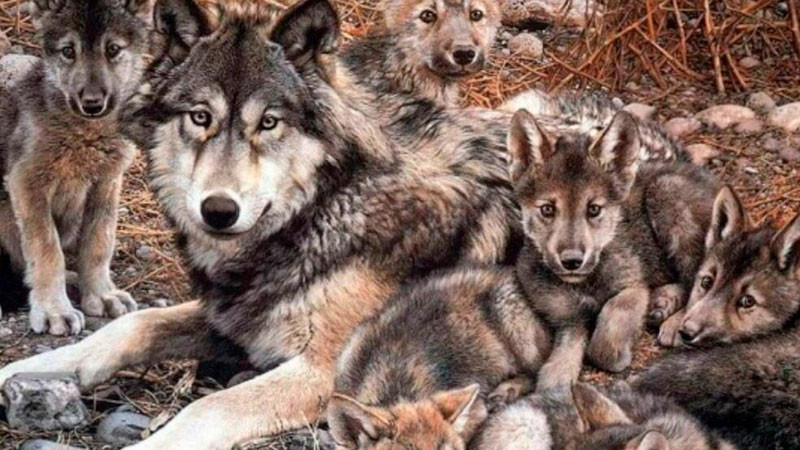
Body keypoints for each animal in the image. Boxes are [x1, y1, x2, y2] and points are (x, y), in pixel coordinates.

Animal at [0, 0, 151, 334]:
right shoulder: (26, 182)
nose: (92, 103)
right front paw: (53, 310)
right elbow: (47, 251)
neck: (85, 134)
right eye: (68, 51)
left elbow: (98, 243)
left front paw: (101, 295)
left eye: (113, 49)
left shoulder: (107, 181)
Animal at [508, 107, 717, 390]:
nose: (572, 261)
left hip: (667, 193)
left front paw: (618, 355)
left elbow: (606, 335)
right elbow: (561, 360)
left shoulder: (633, 288)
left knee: (698, 275)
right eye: (547, 209)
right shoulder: (568, 318)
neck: (585, 283)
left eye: (594, 209)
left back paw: (673, 321)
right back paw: (662, 302)